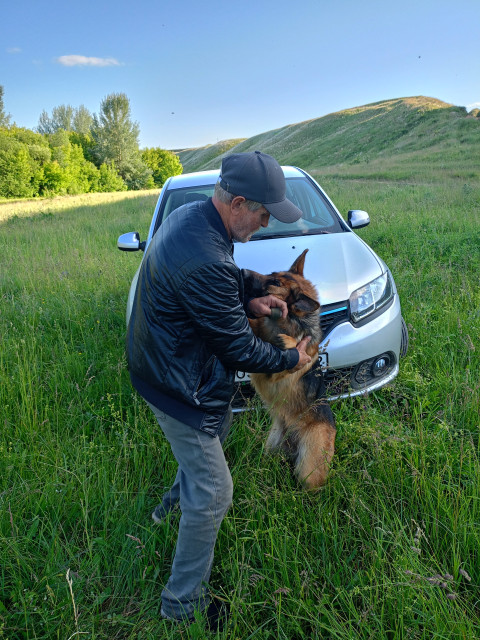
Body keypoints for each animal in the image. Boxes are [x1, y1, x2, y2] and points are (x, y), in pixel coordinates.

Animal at [242, 250, 336, 490]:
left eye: (275, 283)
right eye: (271, 273)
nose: (242, 270)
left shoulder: (276, 375)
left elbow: (293, 349)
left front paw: (288, 342)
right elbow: (253, 323)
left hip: (308, 472)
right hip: (271, 446)